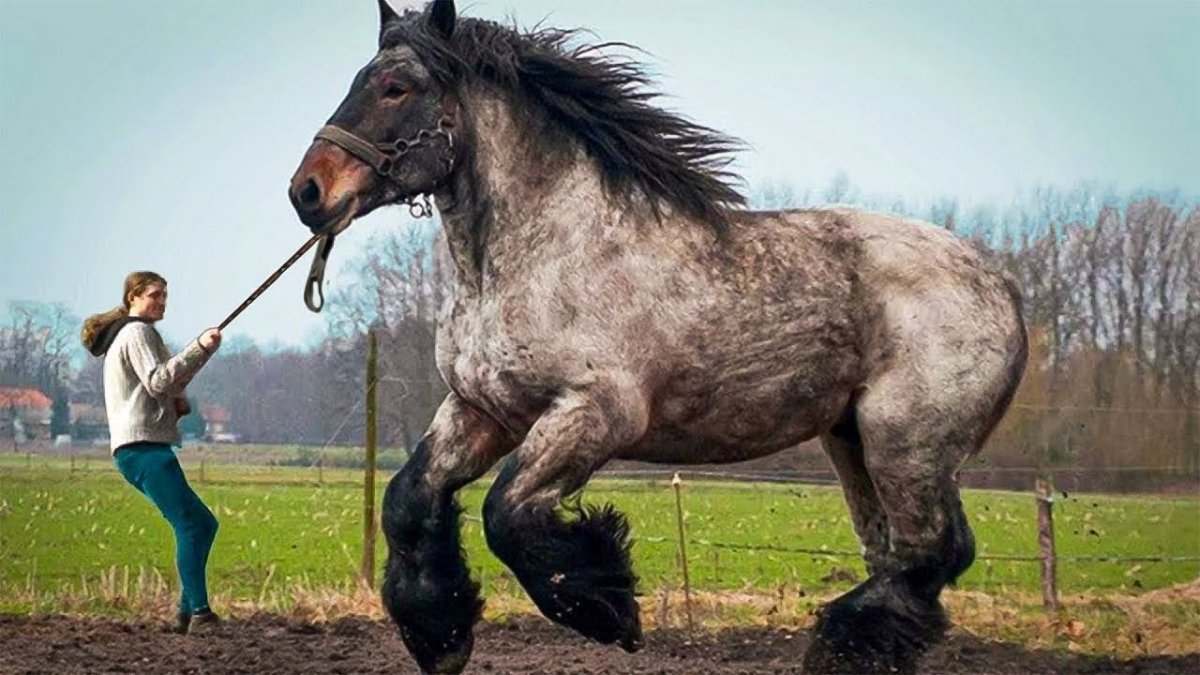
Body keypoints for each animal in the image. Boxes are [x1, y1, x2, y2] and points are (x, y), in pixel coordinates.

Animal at [288, 2, 1028, 672]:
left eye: (396, 87)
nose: (308, 192)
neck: (544, 252)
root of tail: (999, 282)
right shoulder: (481, 409)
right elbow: (408, 499)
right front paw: (440, 634)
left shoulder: (595, 413)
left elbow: (507, 513)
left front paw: (608, 609)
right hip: (852, 441)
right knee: (899, 555)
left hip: (907, 442)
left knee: (933, 551)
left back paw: (835, 644)